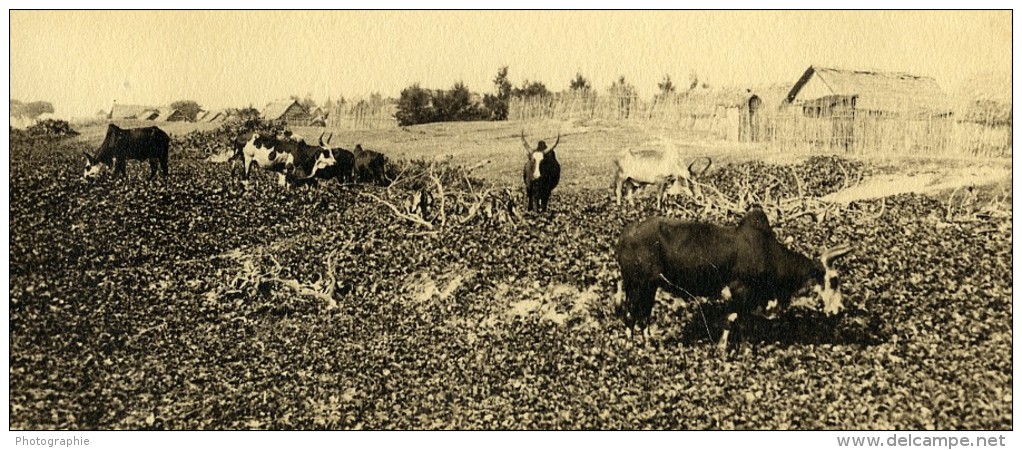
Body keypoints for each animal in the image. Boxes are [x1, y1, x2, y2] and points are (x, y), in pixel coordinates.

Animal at [613, 207, 854, 351]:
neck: (768, 252)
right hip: (637, 284)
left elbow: (737, 321)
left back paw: (649, 343)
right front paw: (735, 350)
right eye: (834, 279)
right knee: (630, 314)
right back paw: (630, 347)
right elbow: (738, 321)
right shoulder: (741, 290)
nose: (839, 309)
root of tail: (624, 234)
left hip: (650, 286)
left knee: (643, 315)